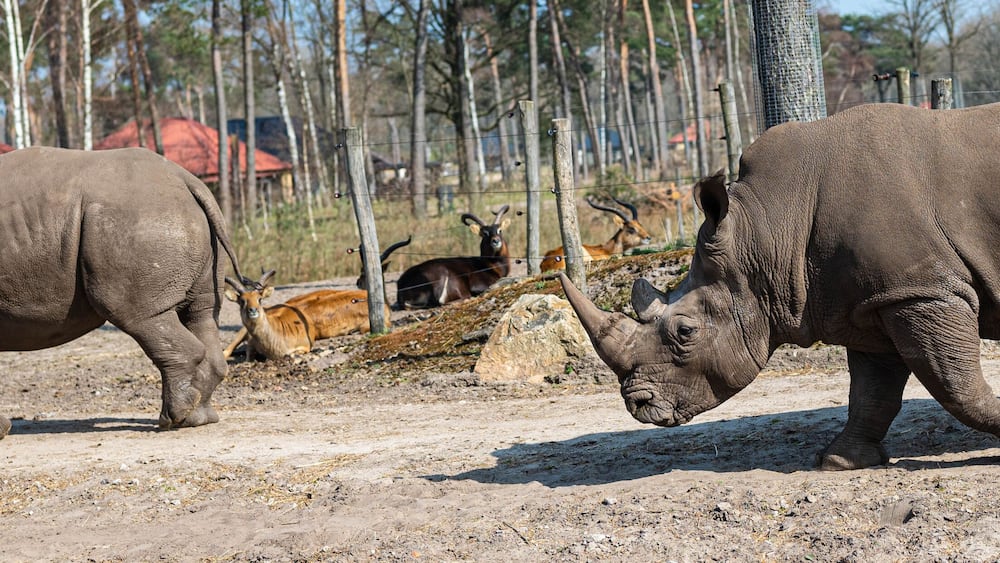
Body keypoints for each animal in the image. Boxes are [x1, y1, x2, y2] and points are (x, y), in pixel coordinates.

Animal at [0, 146, 246, 439]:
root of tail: (187, 181)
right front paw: (3, 430)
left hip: (136, 220)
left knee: (141, 316)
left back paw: (172, 420)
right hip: (173, 220)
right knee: (201, 313)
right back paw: (198, 419)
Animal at [561, 101, 1000, 470]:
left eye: (685, 331)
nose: (638, 403)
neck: (767, 226)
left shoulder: (922, 290)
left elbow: (955, 383)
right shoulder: (873, 299)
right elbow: (872, 393)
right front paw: (839, 462)